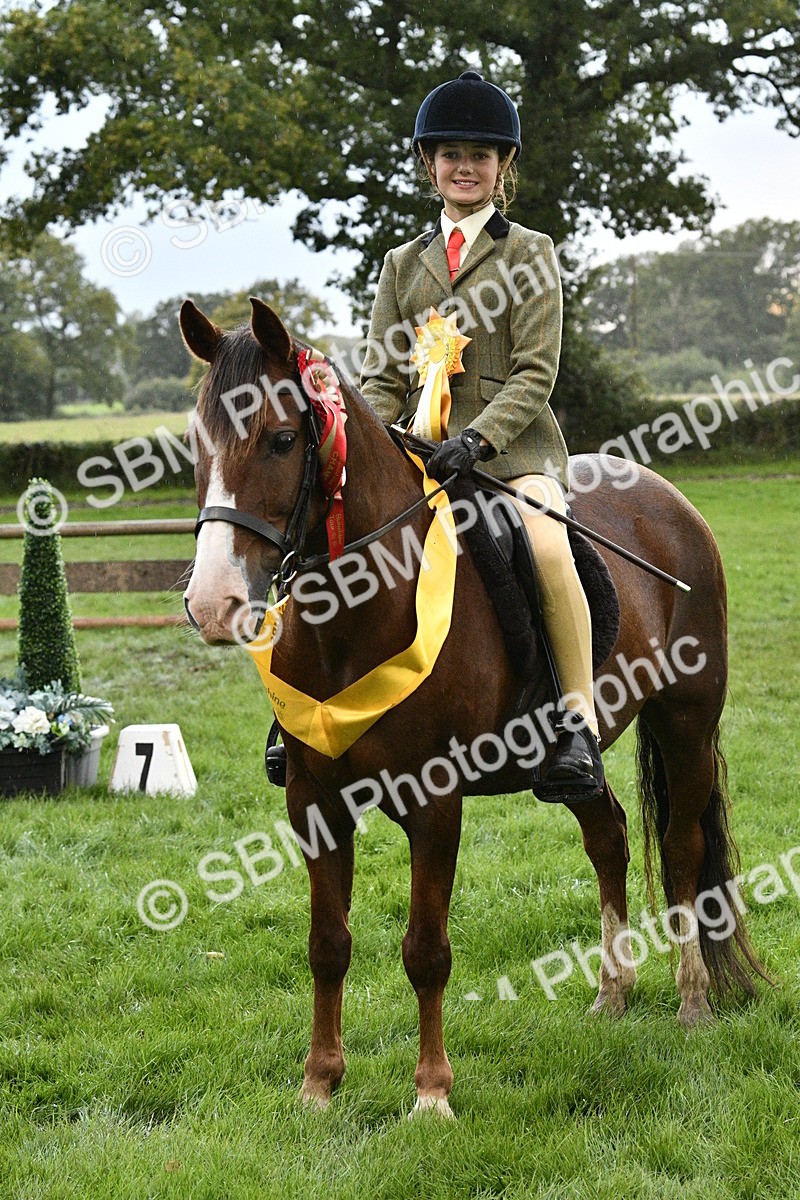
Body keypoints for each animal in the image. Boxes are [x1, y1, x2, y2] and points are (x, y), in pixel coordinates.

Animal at [181, 296, 766, 1118]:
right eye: (196, 443)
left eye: (282, 439)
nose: (212, 603)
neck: (357, 613)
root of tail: (670, 501)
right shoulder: (313, 801)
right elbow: (327, 945)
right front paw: (319, 1085)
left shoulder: (435, 803)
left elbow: (426, 950)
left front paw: (431, 1094)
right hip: (578, 762)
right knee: (610, 836)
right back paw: (612, 994)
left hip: (686, 721)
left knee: (682, 850)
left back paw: (692, 1002)